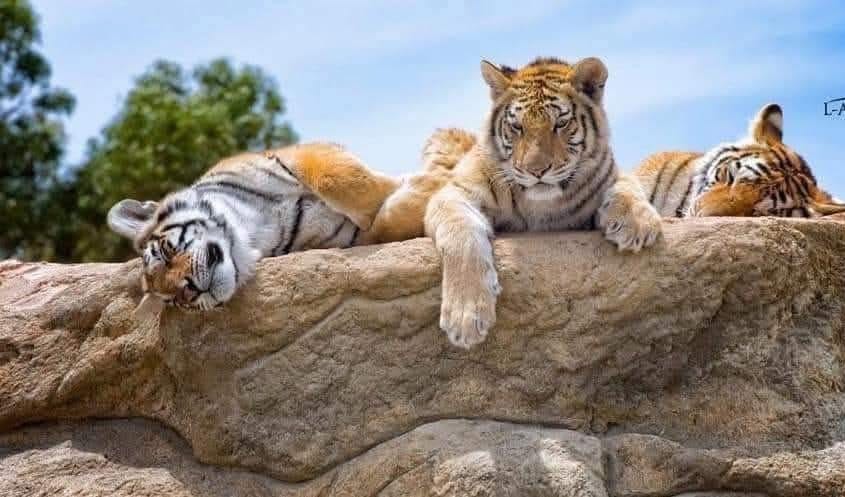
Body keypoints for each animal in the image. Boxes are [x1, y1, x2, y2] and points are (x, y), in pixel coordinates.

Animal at [421, 56, 662, 349]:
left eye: (560, 124)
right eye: (517, 127)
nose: (536, 170)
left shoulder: (612, 173)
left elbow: (627, 186)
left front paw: (636, 224)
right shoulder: (456, 192)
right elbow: (462, 236)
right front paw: (466, 317)